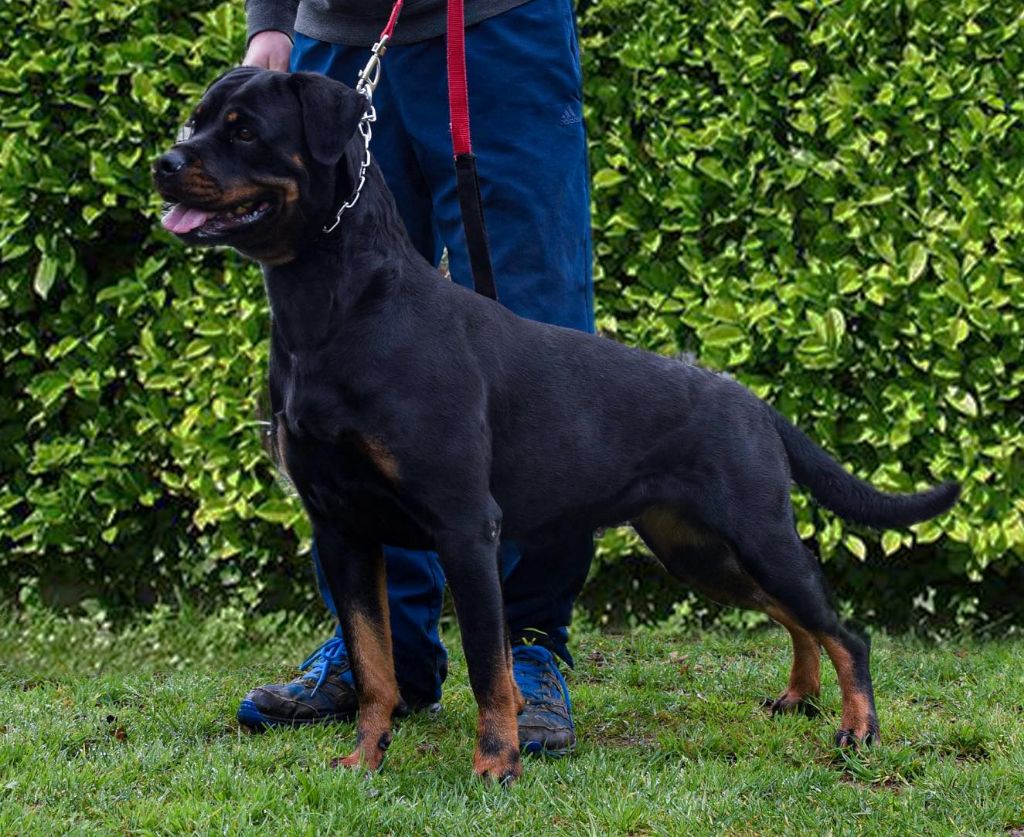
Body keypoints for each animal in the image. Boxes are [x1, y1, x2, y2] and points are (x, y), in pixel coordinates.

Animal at [154, 67, 959, 784]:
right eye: (195, 121)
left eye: (245, 130)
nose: (164, 163)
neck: (338, 310)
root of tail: (754, 403)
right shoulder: (342, 529)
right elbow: (375, 664)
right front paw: (363, 760)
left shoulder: (465, 525)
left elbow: (488, 665)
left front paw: (495, 765)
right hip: (696, 549)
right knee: (796, 617)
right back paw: (799, 696)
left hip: (757, 533)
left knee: (844, 629)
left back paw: (857, 730)